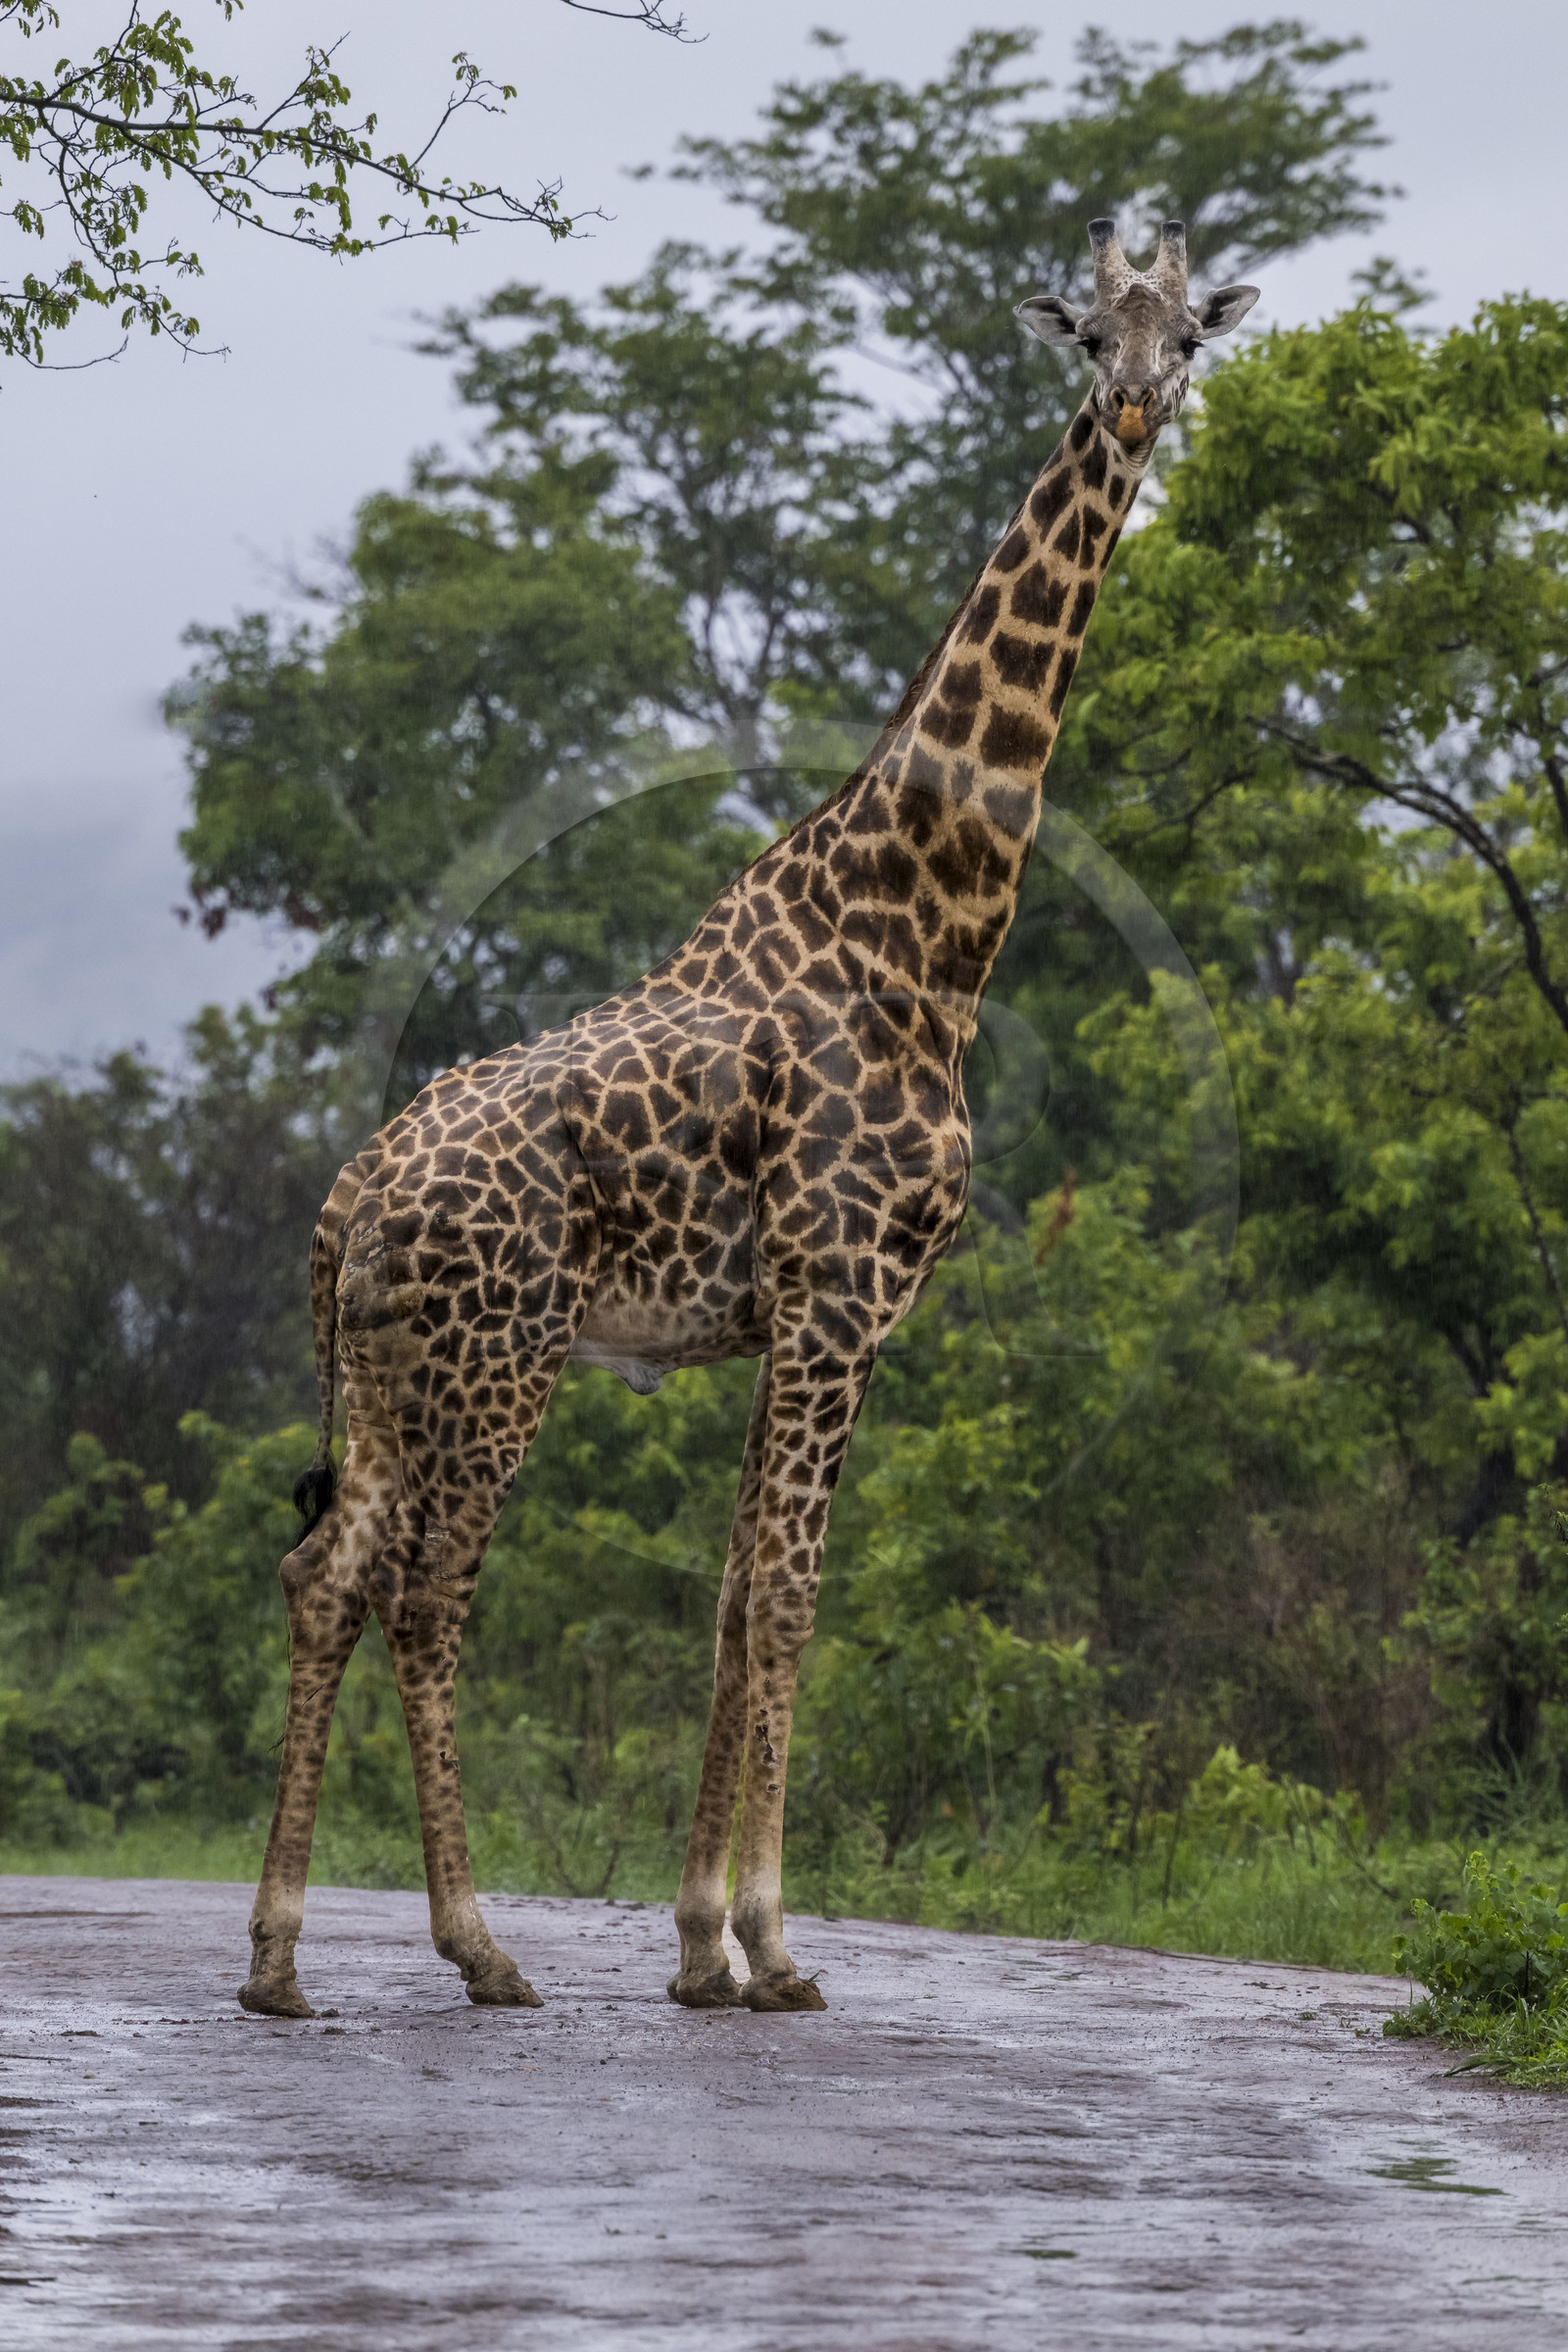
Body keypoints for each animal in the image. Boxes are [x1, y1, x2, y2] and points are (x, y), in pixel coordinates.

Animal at [238, 219, 1259, 2020]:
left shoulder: (787, 1317)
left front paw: (701, 1943)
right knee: (427, 1598)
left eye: (1189, 333)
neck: (928, 928)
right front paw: (776, 1947)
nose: (1138, 408)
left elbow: (724, 1602)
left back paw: (284, 1958)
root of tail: (351, 1199)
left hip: (384, 1374)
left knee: (328, 1575)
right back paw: (478, 1945)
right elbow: (784, 1599)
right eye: (1091, 335)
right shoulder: (845, 1297)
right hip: (497, 1366)